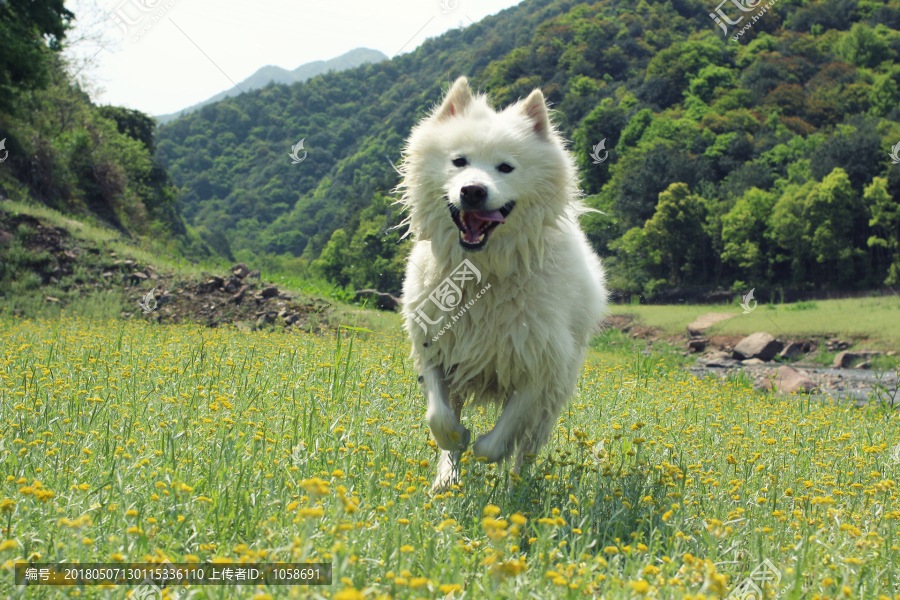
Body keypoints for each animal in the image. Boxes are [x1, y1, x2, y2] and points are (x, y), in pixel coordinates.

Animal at [398, 76, 608, 492]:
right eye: (459, 161)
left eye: (506, 167)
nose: (473, 190)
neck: (484, 274)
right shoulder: (435, 350)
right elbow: (439, 419)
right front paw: (453, 449)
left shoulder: (540, 367)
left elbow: (498, 441)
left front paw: (484, 452)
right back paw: (447, 478)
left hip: (554, 398)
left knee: (526, 448)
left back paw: (516, 488)